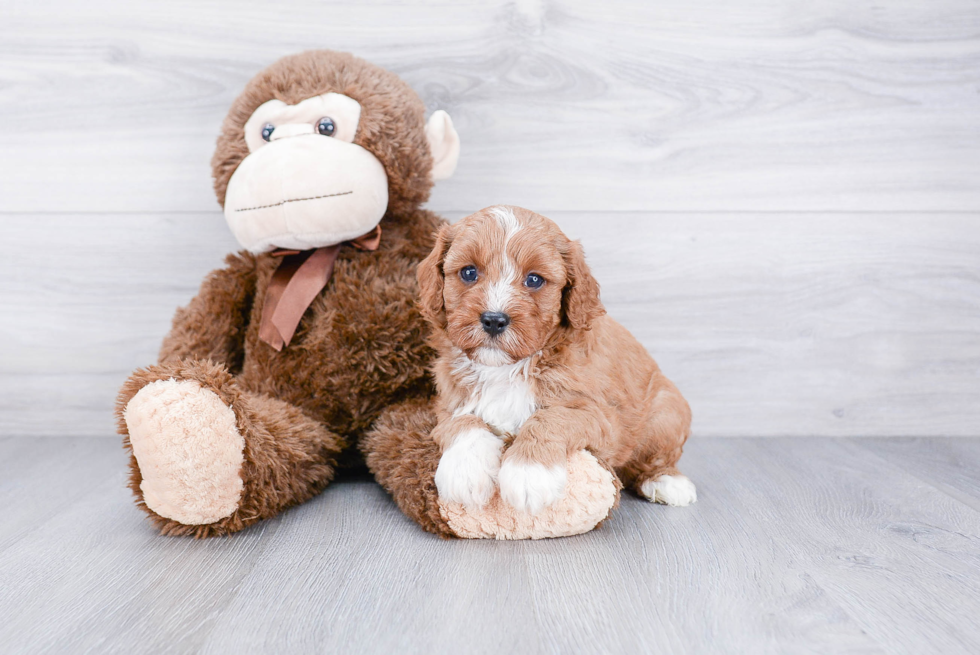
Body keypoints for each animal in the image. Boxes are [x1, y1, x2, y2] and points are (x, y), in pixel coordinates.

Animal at [416, 208, 696, 516]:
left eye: (534, 280)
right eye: (468, 272)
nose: (494, 319)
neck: (506, 369)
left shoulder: (601, 416)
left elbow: (550, 417)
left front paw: (528, 473)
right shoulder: (446, 403)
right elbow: (462, 421)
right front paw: (464, 471)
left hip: (667, 413)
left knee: (655, 457)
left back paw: (667, 482)